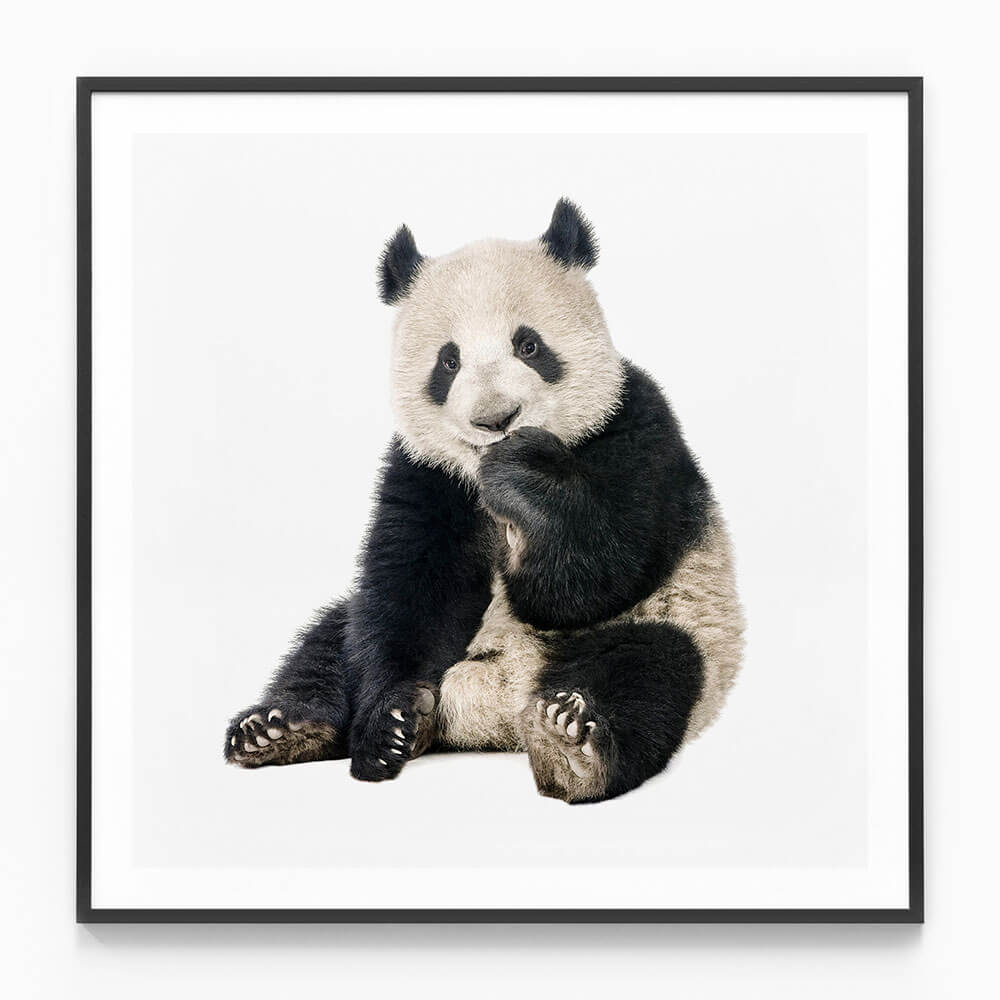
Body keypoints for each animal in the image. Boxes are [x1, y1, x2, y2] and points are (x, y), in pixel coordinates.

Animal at [224, 199, 745, 804]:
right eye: (448, 362)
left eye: (529, 346)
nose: (496, 420)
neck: (480, 473)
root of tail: (494, 712)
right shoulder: (427, 473)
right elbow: (410, 589)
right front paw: (388, 726)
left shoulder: (635, 427)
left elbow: (593, 576)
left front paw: (525, 482)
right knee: (332, 640)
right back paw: (282, 728)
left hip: (682, 623)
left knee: (648, 671)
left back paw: (572, 746)